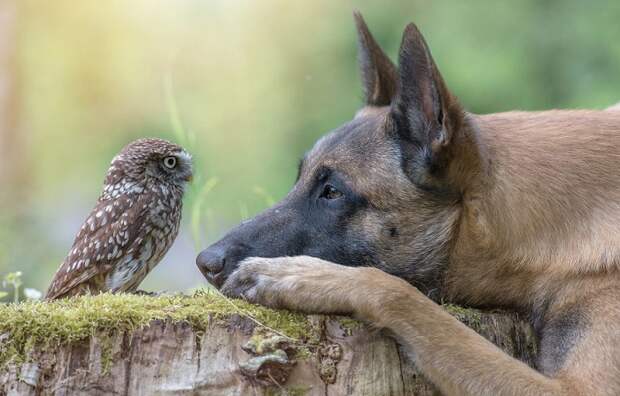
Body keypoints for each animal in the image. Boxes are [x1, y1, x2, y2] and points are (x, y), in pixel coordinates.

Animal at [196, 13, 620, 396]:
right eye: (300, 178)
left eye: (332, 192)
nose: (205, 262)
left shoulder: (574, 390)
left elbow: (400, 294)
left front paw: (297, 276)